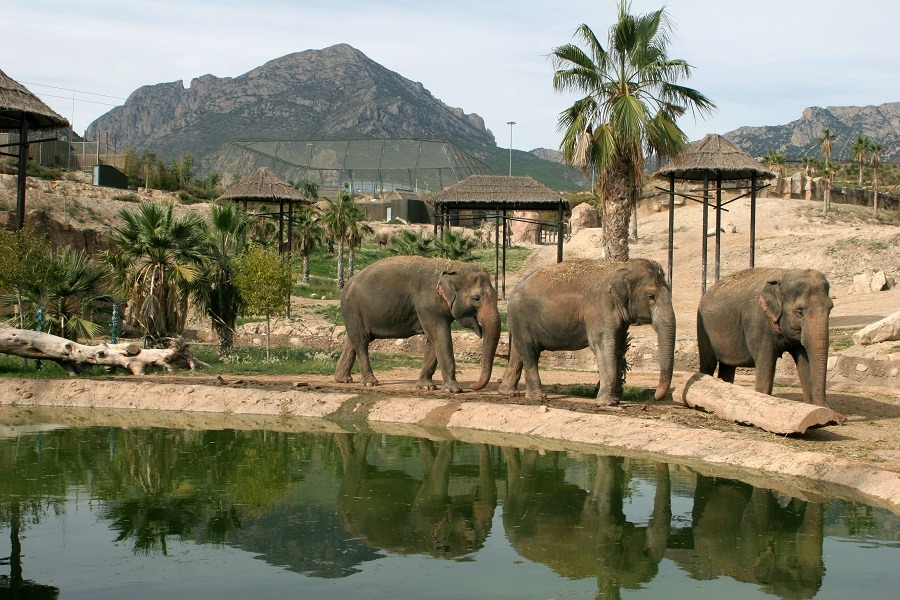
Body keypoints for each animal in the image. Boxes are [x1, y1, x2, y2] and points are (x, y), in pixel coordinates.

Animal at [332, 254, 500, 392]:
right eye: (476, 299)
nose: (472, 385)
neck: (452, 265)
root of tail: (347, 283)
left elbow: (433, 339)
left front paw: (426, 387)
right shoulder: (427, 304)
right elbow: (440, 336)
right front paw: (454, 390)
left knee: (353, 339)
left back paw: (343, 379)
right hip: (353, 307)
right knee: (361, 341)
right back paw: (370, 383)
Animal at [500, 258, 676, 408]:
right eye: (651, 296)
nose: (654, 397)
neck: (621, 267)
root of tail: (515, 288)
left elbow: (618, 347)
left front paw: (615, 400)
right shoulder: (600, 309)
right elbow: (604, 346)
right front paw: (607, 403)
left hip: (519, 322)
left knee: (518, 352)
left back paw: (508, 393)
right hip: (522, 318)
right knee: (530, 352)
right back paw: (538, 397)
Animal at [696, 268, 836, 406]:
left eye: (831, 308)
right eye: (799, 311)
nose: (829, 409)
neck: (784, 274)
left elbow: (804, 363)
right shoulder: (758, 323)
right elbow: (766, 361)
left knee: (728, 366)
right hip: (703, 329)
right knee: (708, 364)